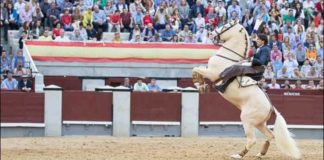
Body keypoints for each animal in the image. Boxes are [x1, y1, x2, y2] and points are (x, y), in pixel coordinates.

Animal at [192, 20, 302, 159]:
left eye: (226, 25)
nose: (211, 33)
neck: (228, 57)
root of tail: (271, 108)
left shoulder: (212, 73)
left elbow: (195, 69)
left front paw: (199, 84)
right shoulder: (209, 71)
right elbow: (198, 69)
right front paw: (202, 86)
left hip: (246, 119)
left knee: (252, 140)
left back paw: (238, 155)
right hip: (259, 123)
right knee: (270, 135)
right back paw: (260, 153)